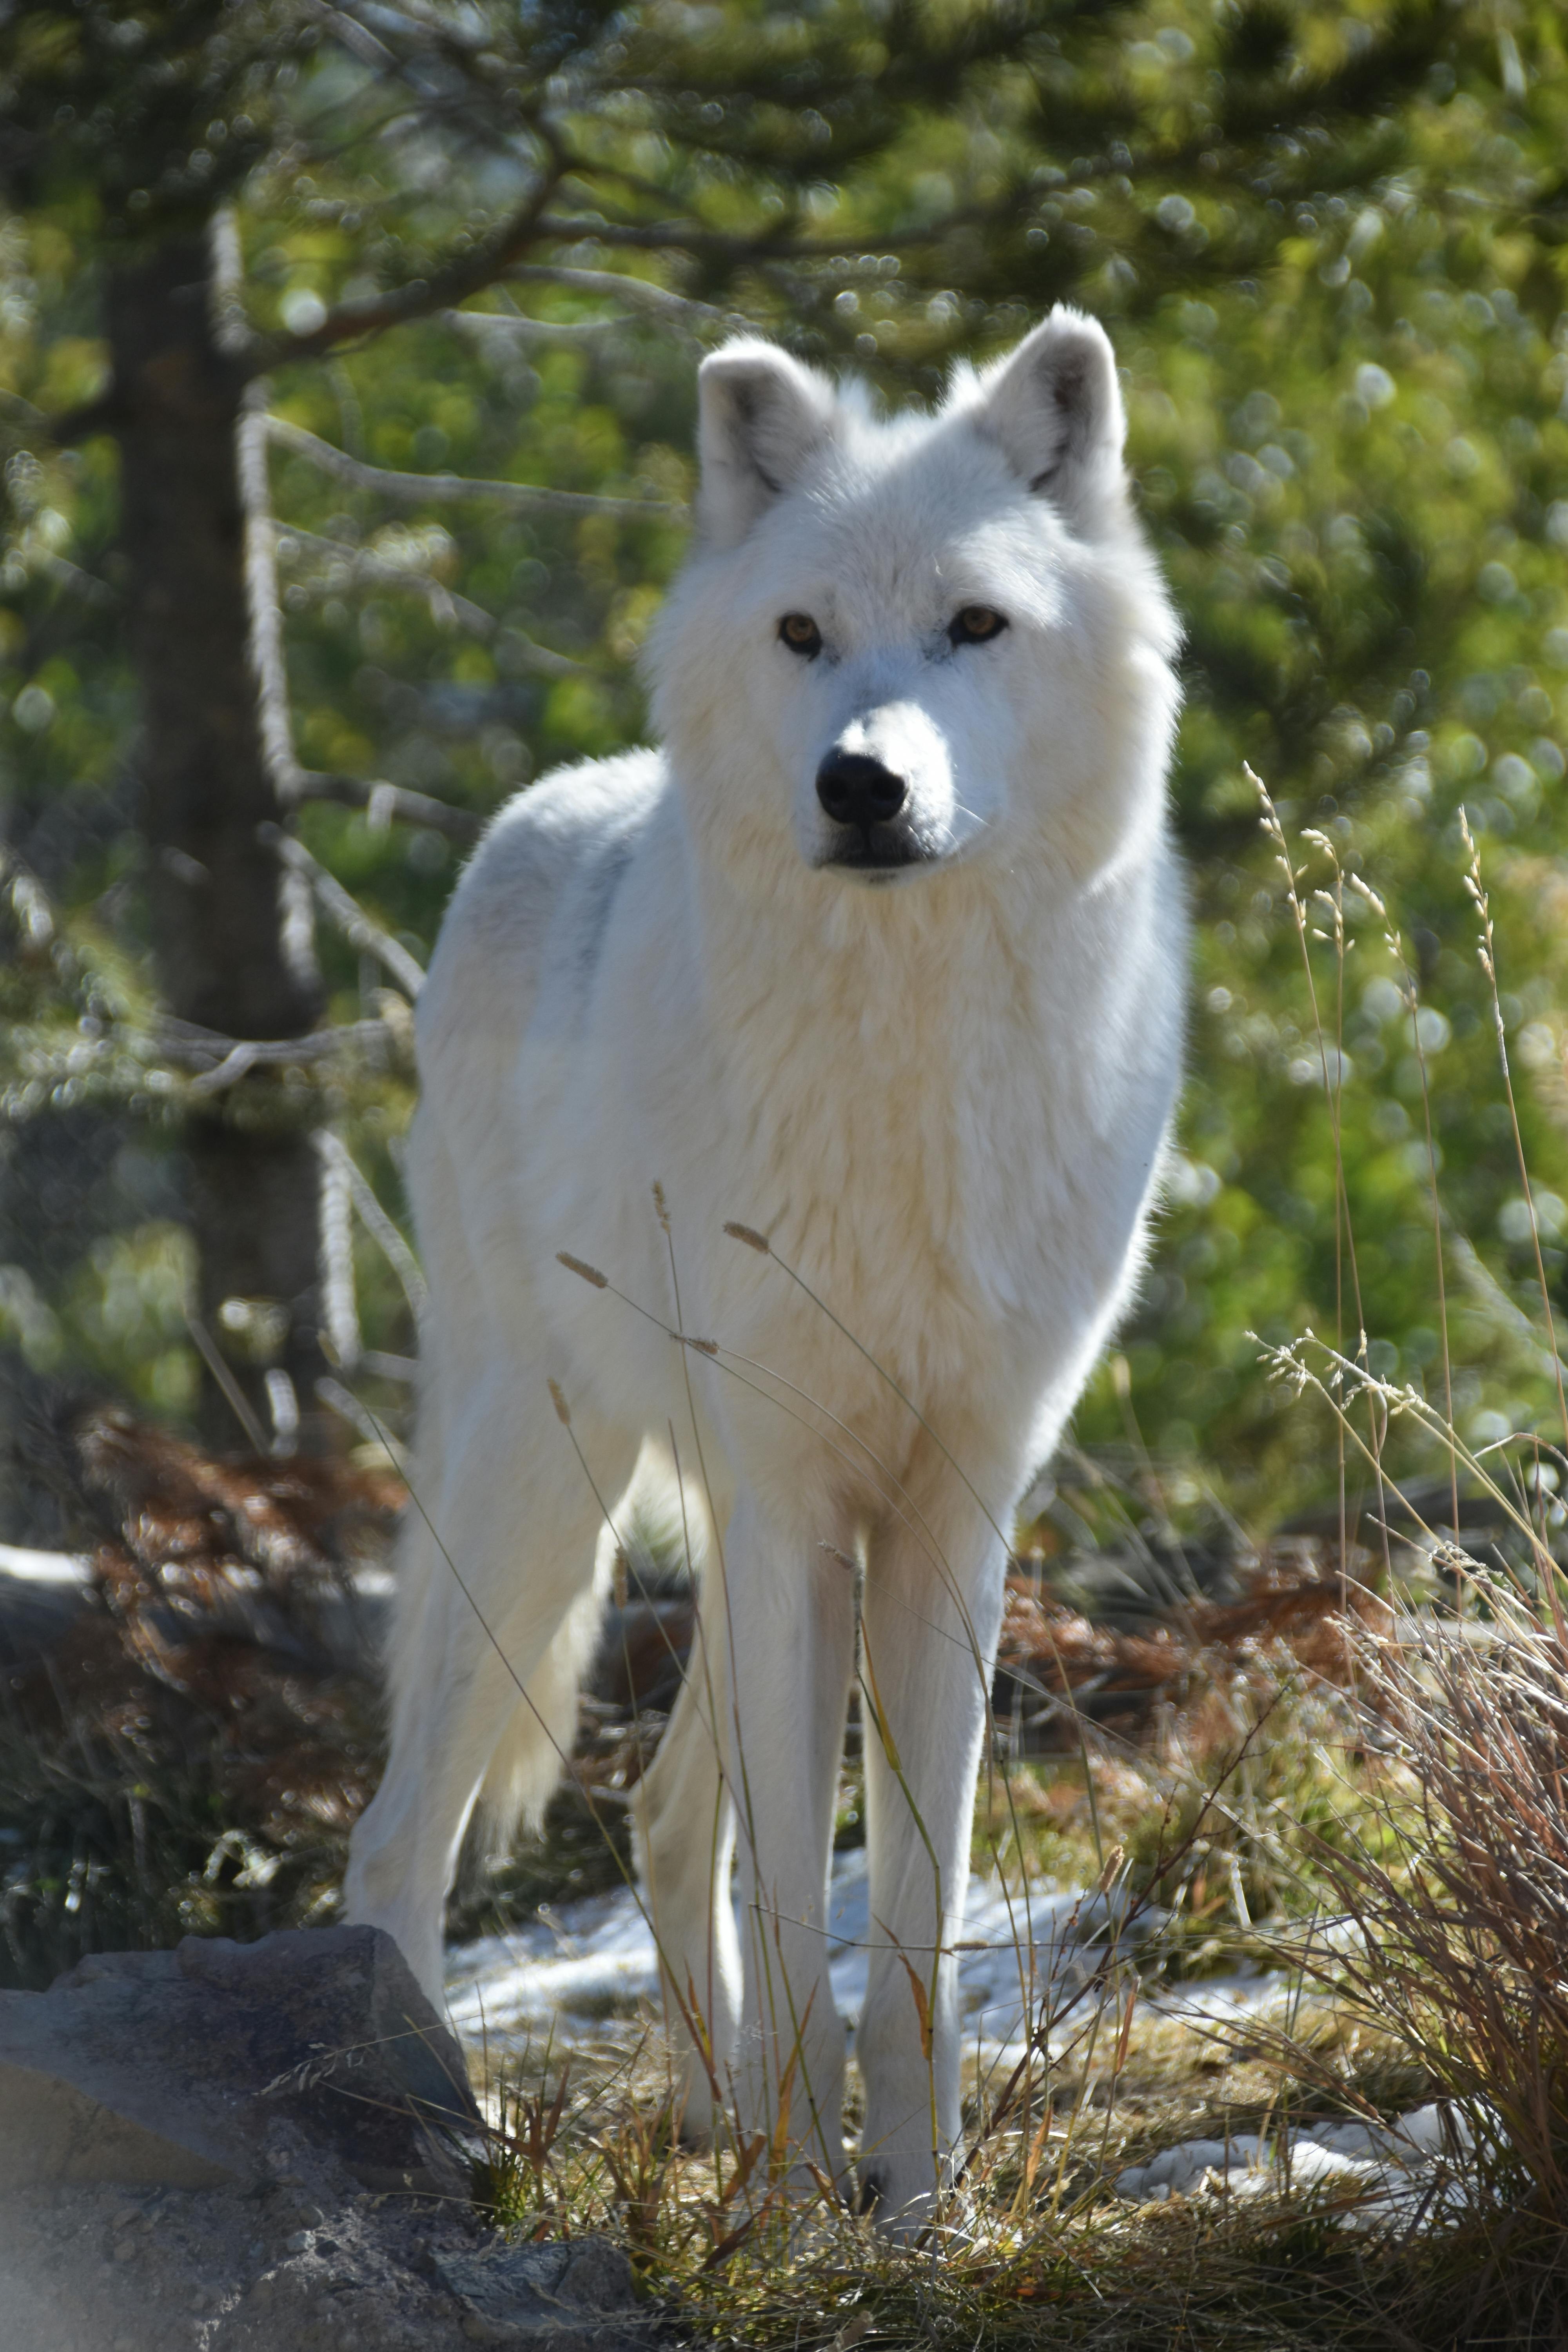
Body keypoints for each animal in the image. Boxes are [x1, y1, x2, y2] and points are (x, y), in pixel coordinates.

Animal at [341, 308, 1175, 2220]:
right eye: (801, 633)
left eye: (973, 624)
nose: (861, 784)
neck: (903, 1067)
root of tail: (530, 818)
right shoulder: (795, 1500)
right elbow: (805, 1909)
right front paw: (805, 2222)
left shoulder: (947, 1511)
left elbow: (916, 1929)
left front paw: (919, 2209)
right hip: (543, 1491)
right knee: (395, 1838)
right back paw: (430, 2117)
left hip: (690, 1518)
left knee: (657, 1814)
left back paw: (718, 2123)